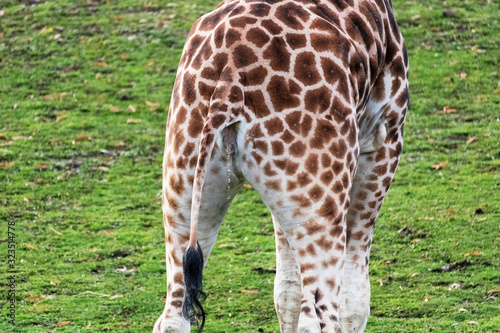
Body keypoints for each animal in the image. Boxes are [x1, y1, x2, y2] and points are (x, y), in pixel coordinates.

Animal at [154, 0, 408, 330]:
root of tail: (227, 79)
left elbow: (286, 290)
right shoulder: (383, 137)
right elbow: (356, 297)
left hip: (185, 185)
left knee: (173, 314)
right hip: (322, 197)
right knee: (320, 316)